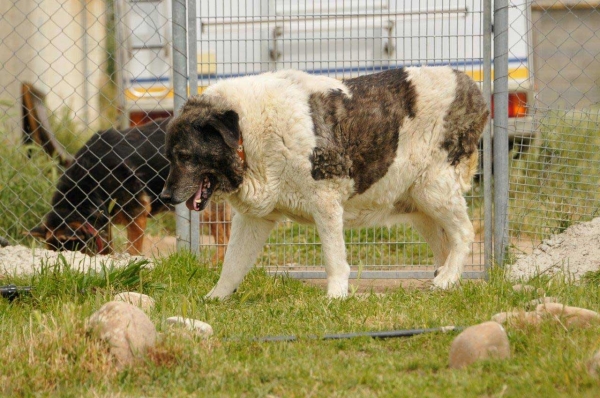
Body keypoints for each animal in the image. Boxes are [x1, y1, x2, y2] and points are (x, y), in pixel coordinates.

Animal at [159, 68, 488, 298]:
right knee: (445, 244)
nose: (165, 196)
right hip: (420, 206)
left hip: (434, 190)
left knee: (464, 233)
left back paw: (447, 279)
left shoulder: (325, 201)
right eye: (170, 156)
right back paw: (446, 282)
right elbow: (232, 264)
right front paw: (214, 299)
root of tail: (472, 86)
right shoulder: (254, 220)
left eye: (184, 156)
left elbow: (333, 258)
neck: (248, 136)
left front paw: (335, 296)